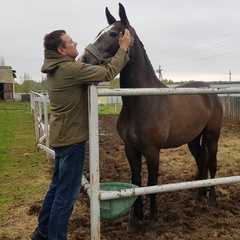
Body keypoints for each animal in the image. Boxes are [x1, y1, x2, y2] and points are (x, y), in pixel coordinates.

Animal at [80, 3, 223, 238]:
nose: (83, 60)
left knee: (211, 163)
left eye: (113, 33)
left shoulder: (152, 151)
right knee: (201, 160)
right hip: (193, 139)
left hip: (212, 136)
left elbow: (152, 184)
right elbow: (137, 182)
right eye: (99, 32)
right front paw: (135, 221)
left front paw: (152, 223)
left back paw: (211, 200)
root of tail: (209, 91)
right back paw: (198, 196)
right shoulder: (131, 148)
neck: (141, 101)